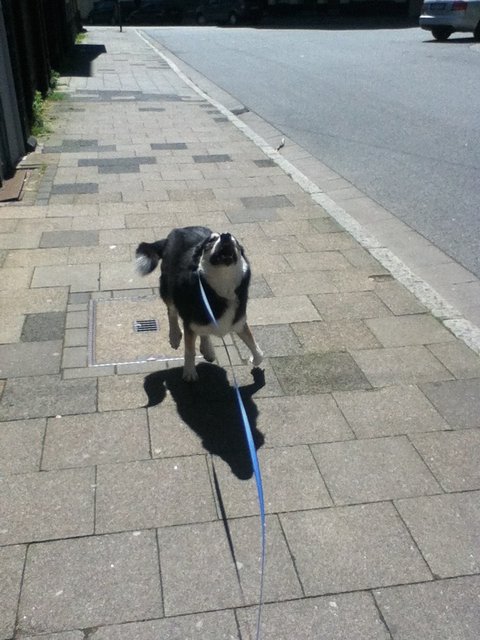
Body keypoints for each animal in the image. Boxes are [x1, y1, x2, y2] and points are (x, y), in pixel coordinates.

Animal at [136, 226, 263, 381]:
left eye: (235, 241)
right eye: (211, 241)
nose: (226, 236)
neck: (221, 286)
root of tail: (177, 231)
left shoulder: (239, 322)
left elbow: (255, 347)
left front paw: (255, 360)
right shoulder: (190, 322)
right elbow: (190, 350)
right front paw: (189, 371)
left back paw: (207, 348)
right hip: (168, 288)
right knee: (171, 311)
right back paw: (174, 336)